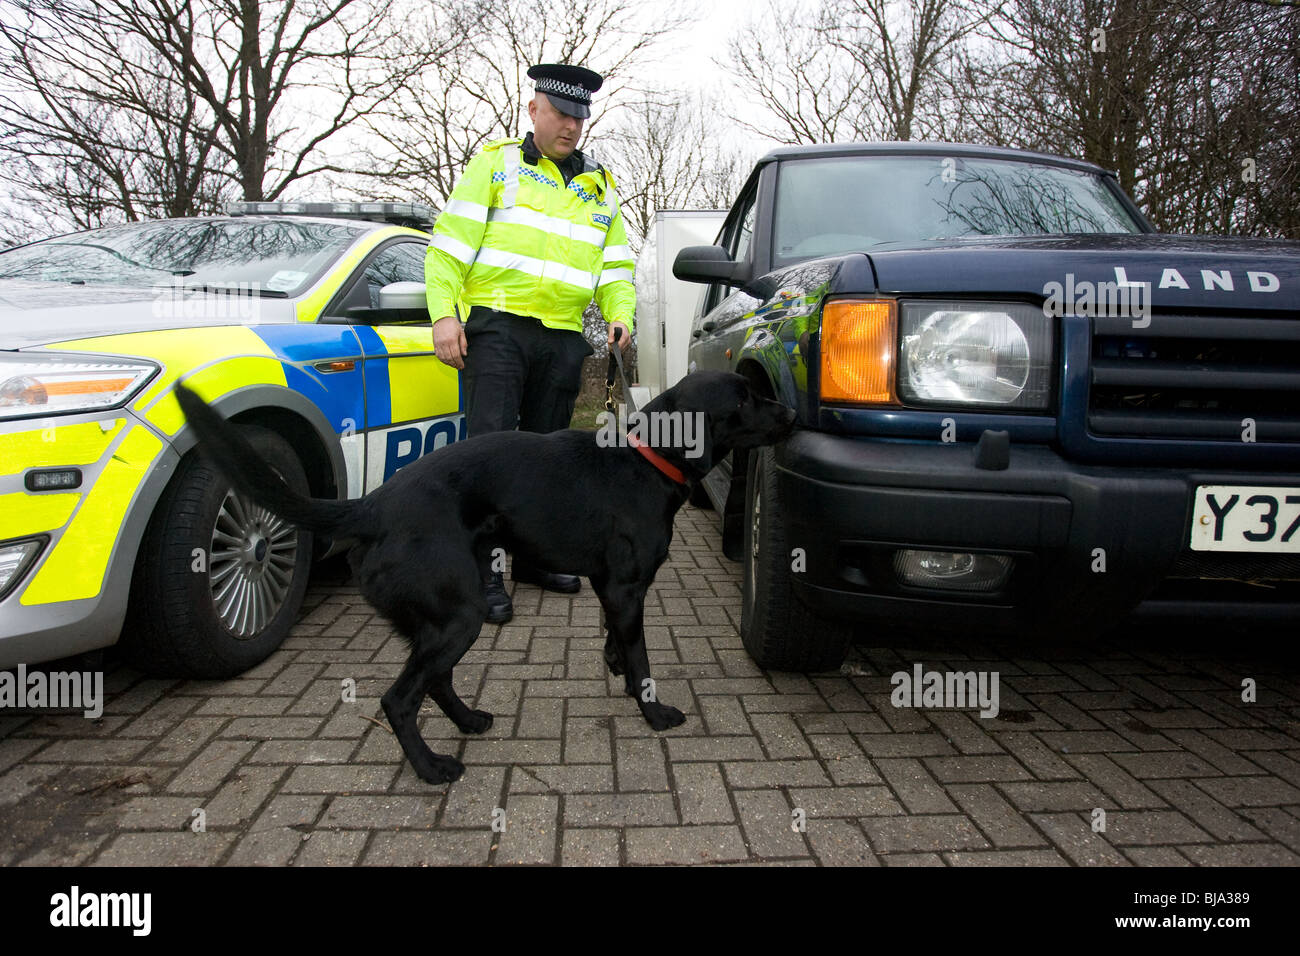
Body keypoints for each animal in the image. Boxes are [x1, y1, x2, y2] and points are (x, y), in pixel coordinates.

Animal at [175, 369, 790, 780]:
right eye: (743, 397)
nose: (790, 412)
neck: (644, 458)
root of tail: (370, 506)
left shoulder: (611, 591)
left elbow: (619, 643)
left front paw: (615, 664)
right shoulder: (625, 588)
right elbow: (641, 659)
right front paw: (653, 711)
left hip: (446, 616)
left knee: (436, 682)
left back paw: (468, 721)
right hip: (460, 613)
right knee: (399, 699)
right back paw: (431, 767)